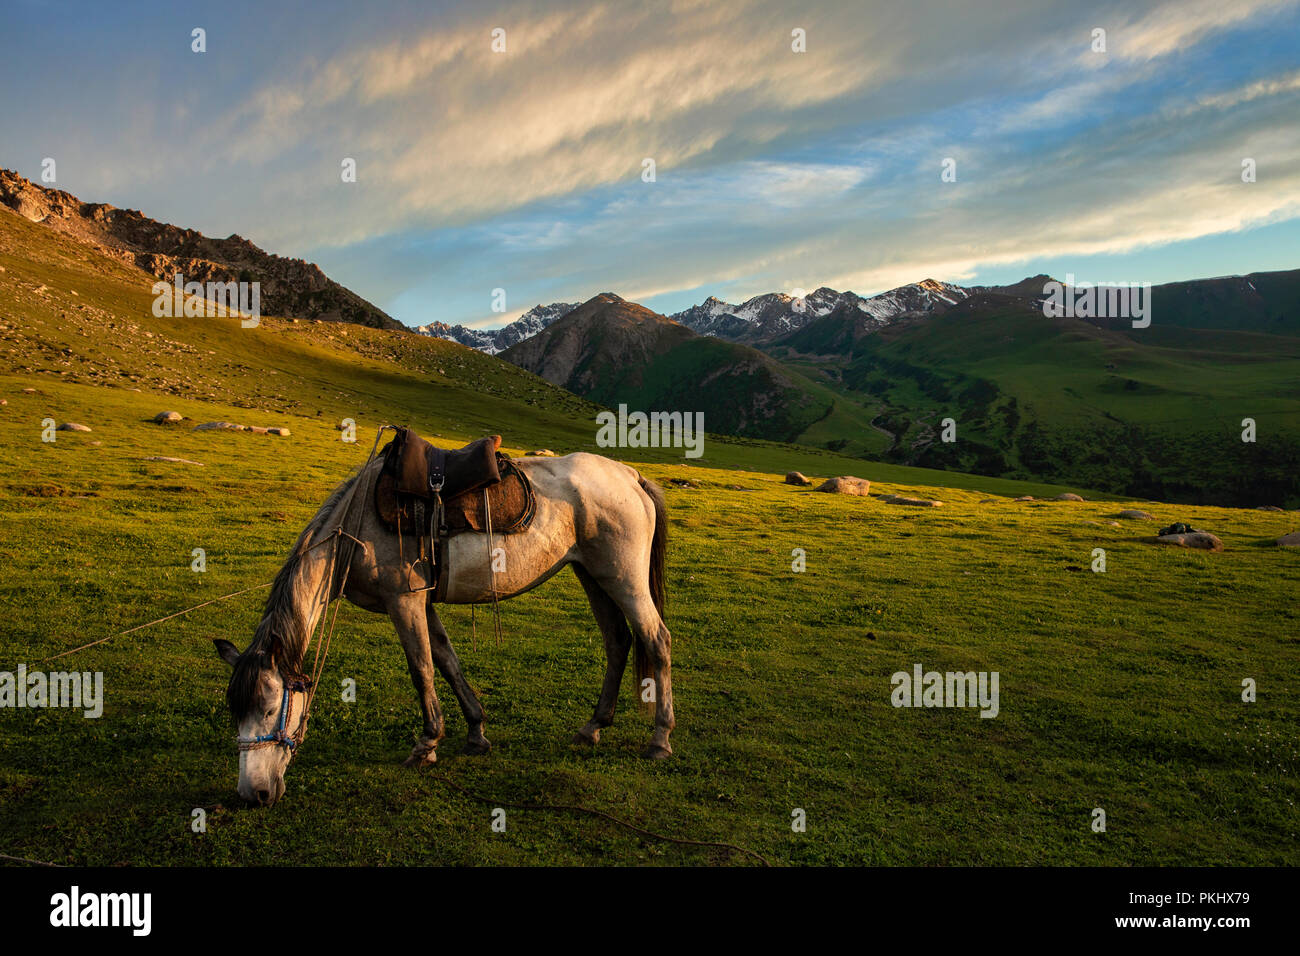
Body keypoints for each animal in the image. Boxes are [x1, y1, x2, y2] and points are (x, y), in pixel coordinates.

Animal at [208, 450, 676, 806]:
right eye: (236, 712)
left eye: (270, 709)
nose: (253, 794)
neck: (356, 524)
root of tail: (630, 476)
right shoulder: (423, 603)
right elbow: (448, 663)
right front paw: (476, 732)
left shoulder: (404, 600)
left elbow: (422, 670)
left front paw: (427, 744)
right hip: (592, 574)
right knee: (618, 641)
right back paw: (593, 726)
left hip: (623, 578)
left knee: (656, 640)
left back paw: (659, 740)